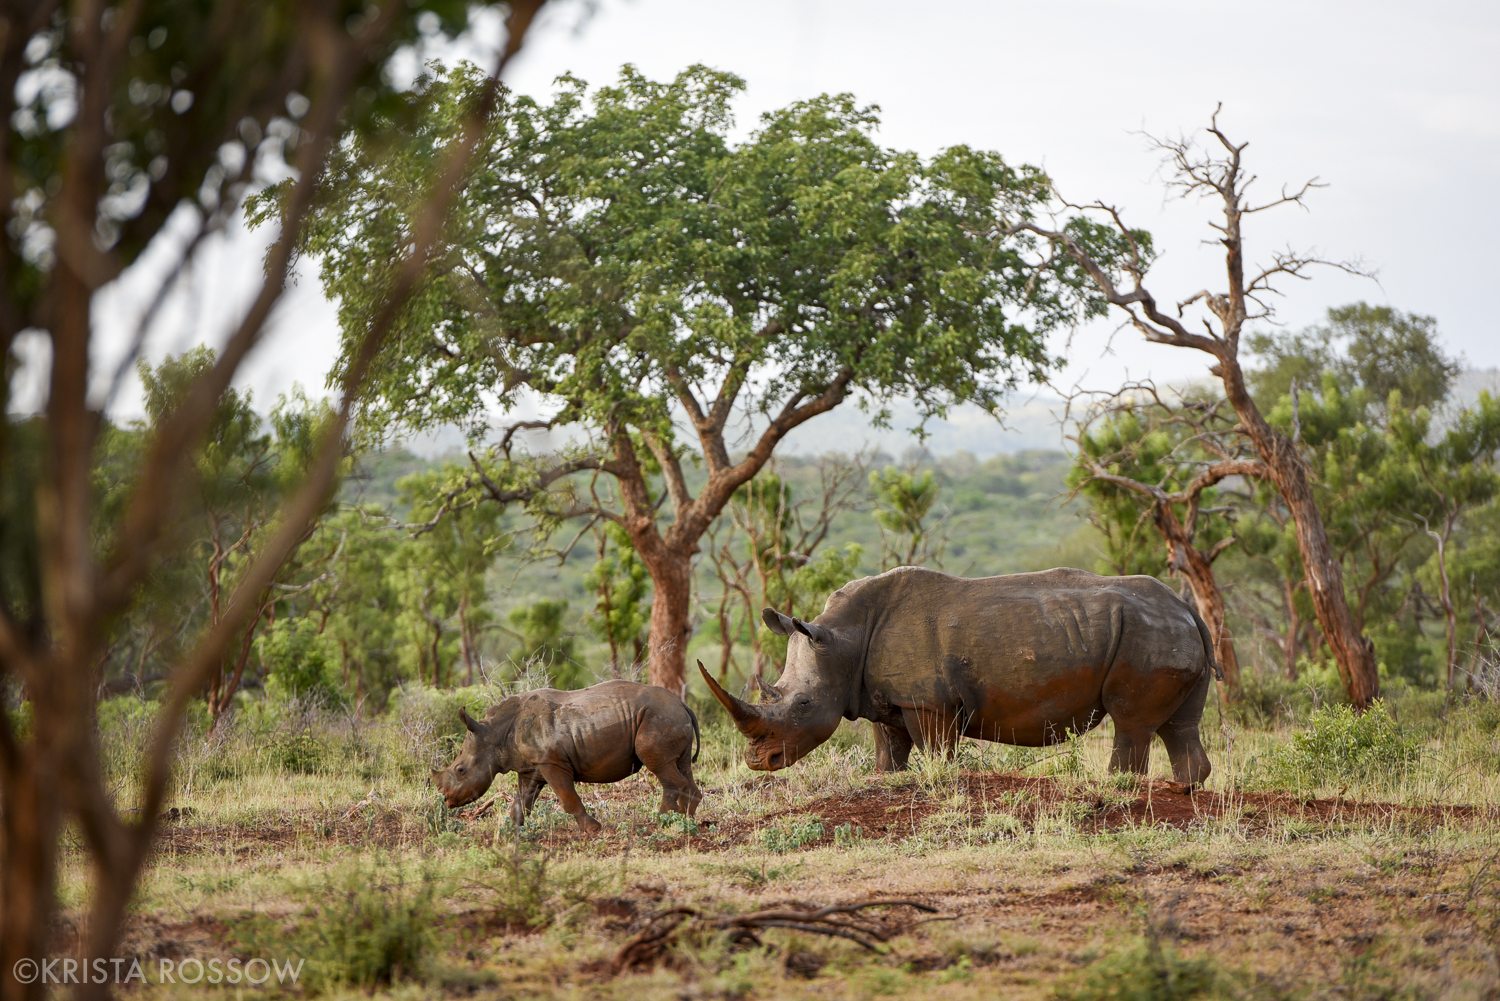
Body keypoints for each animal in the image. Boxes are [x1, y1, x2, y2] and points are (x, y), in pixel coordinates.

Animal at [431, 680, 702, 833]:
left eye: (460, 770)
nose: (446, 800)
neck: (493, 732)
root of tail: (682, 704)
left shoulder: (551, 762)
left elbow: (567, 797)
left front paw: (592, 829)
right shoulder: (532, 767)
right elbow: (522, 799)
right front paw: (510, 830)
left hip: (658, 716)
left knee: (660, 764)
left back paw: (663, 820)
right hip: (669, 716)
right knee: (680, 765)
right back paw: (686, 818)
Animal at [701, 567, 1219, 784]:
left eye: (803, 704)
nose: (758, 762)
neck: (843, 640)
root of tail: (1188, 610)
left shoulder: (929, 702)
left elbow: (935, 751)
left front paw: (939, 778)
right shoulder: (885, 698)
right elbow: (888, 751)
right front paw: (889, 779)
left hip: (1146, 636)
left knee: (1133, 722)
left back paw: (1118, 787)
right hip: (1169, 632)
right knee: (1179, 724)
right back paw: (1184, 789)